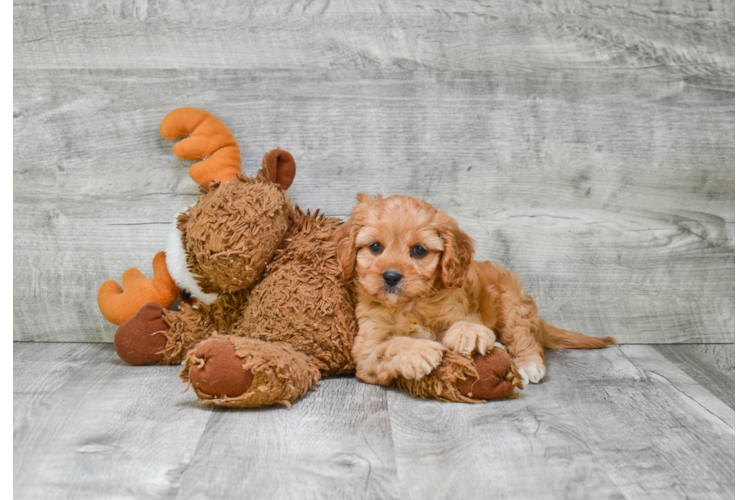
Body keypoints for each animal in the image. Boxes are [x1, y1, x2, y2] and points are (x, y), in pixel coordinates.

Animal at [334, 194, 612, 386]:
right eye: (375, 247)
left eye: (419, 251)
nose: (391, 276)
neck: (411, 305)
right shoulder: (365, 353)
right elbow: (390, 347)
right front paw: (418, 350)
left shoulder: (459, 308)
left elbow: (465, 323)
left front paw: (469, 332)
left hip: (511, 305)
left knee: (523, 336)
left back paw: (528, 363)